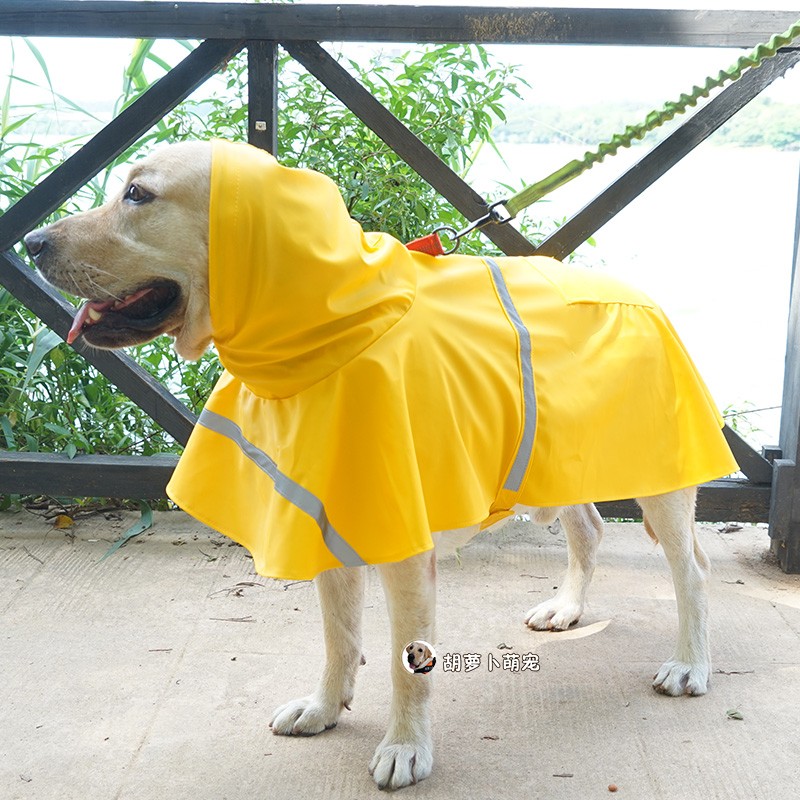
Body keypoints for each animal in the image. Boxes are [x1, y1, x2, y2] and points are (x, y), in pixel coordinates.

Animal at [23, 141, 736, 792]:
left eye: (137, 195)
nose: (30, 239)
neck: (330, 334)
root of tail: (635, 289)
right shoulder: (325, 517)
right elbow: (339, 638)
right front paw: (323, 708)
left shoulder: (404, 550)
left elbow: (405, 662)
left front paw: (406, 747)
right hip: (557, 463)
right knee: (588, 529)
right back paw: (566, 608)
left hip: (660, 479)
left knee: (693, 570)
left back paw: (690, 664)